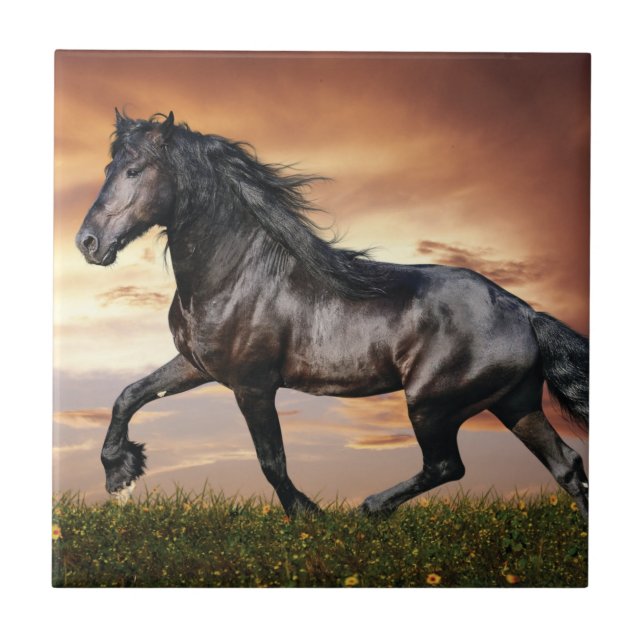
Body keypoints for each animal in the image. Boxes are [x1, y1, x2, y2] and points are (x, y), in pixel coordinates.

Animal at [75, 111, 589, 519]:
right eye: (108, 167)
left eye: (134, 170)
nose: (88, 243)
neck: (237, 274)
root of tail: (523, 311)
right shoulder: (197, 365)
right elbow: (129, 395)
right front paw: (120, 474)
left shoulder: (252, 385)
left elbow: (271, 461)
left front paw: (309, 516)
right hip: (514, 403)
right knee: (567, 467)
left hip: (432, 404)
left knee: (447, 465)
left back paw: (370, 508)